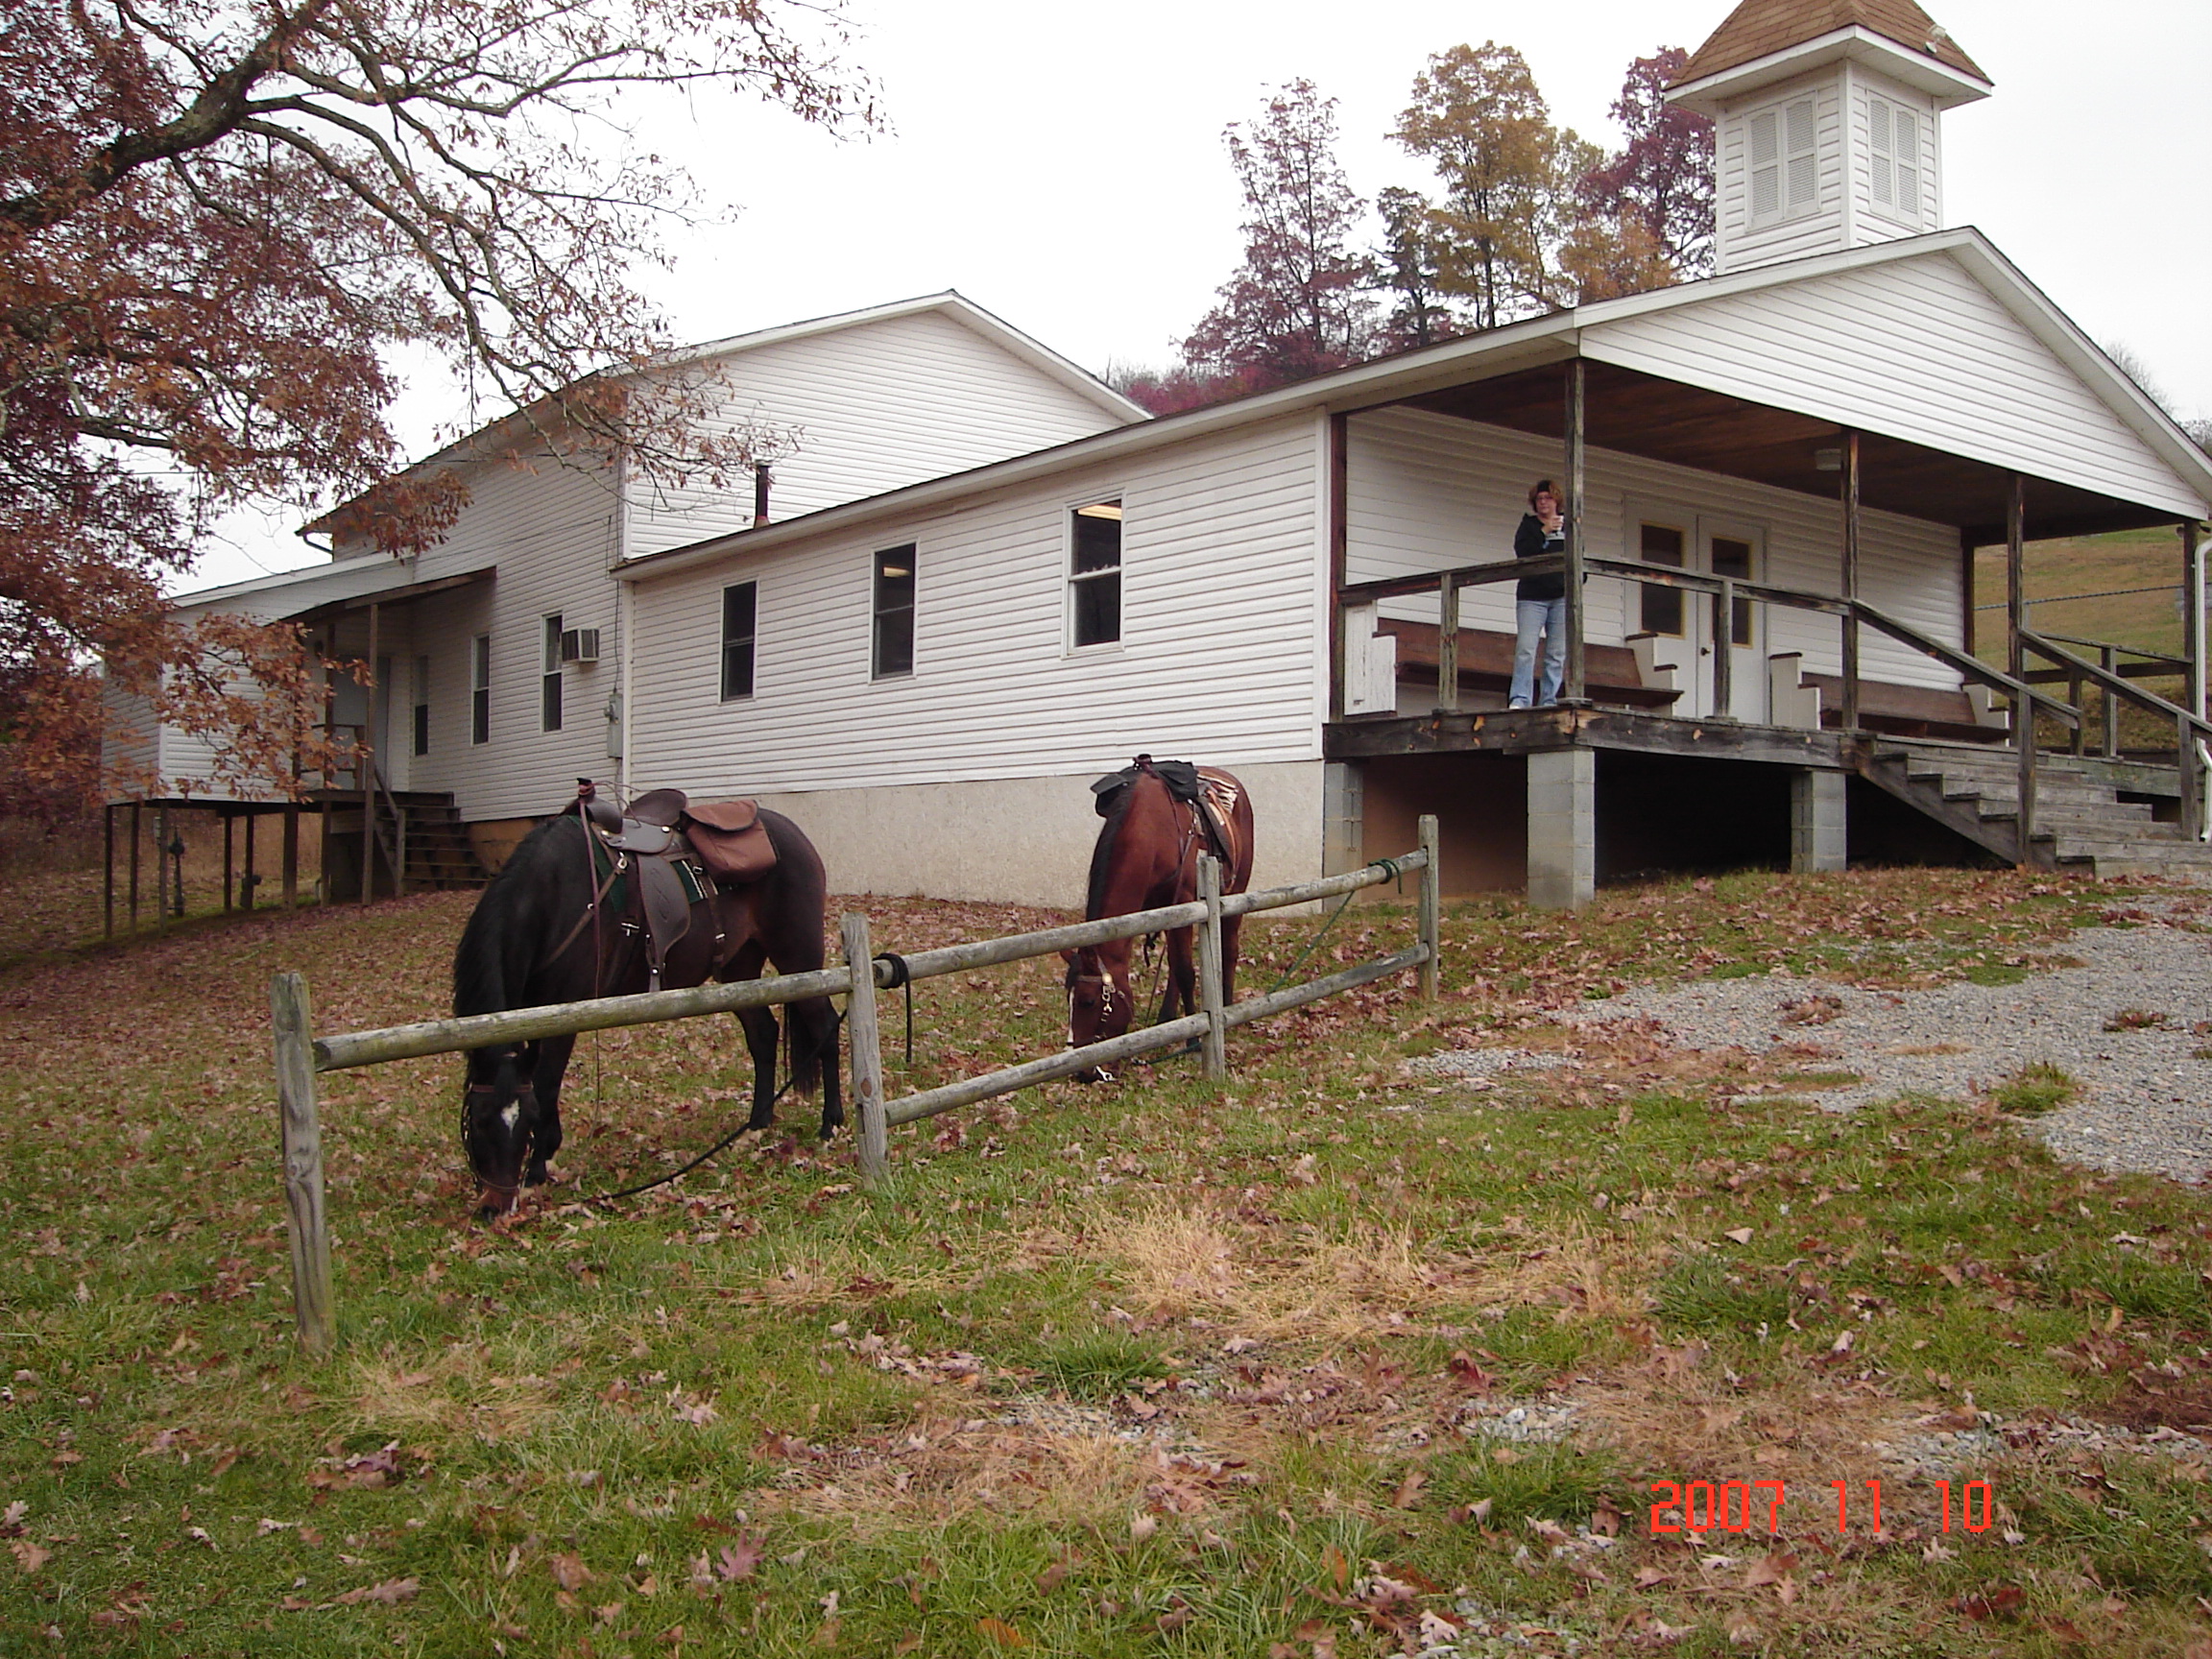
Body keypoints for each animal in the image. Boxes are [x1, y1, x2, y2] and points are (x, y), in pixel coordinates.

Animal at [446, 801, 835, 1212]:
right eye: (478, 1120)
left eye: (525, 1120)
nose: (496, 1206)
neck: (553, 897)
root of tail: (794, 835)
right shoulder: (531, 1015)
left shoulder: (564, 1010)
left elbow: (547, 1083)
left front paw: (538, 1169)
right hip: (738, 970)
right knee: (763, 1034)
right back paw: (757, 1124)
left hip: (798, 957)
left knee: (825, 1025)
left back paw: (832, 1122)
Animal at [1061, 760, 1256, 1083]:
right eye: (1068, 998)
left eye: (1088, 1001)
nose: (1083, 1073)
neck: (1150, 831)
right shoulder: (1156, 910)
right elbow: (1177, 966)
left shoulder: (1185, 901)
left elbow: (1186, 971)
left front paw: (1193, 1039)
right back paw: (1167, 1016)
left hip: (1236, 889)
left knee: (1229, 948)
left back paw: (1227, 1006)